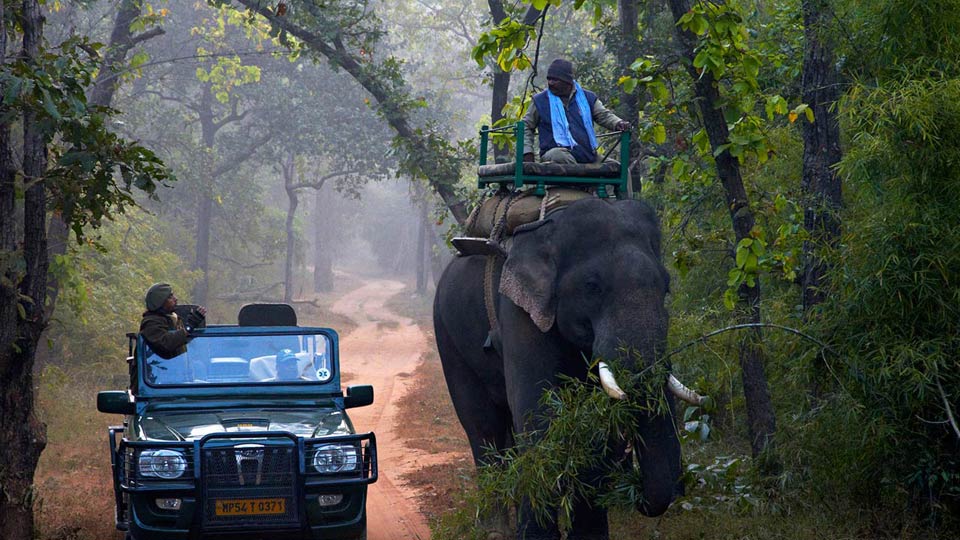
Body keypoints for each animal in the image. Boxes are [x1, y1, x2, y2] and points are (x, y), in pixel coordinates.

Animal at [432, 198, 692, 540]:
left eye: (666, 287)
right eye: (592, 287)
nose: (633, 484)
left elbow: (592, 428)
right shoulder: (519, 309)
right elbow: (538, 414)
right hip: (447, 334)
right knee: (483, 427)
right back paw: (495, 530)